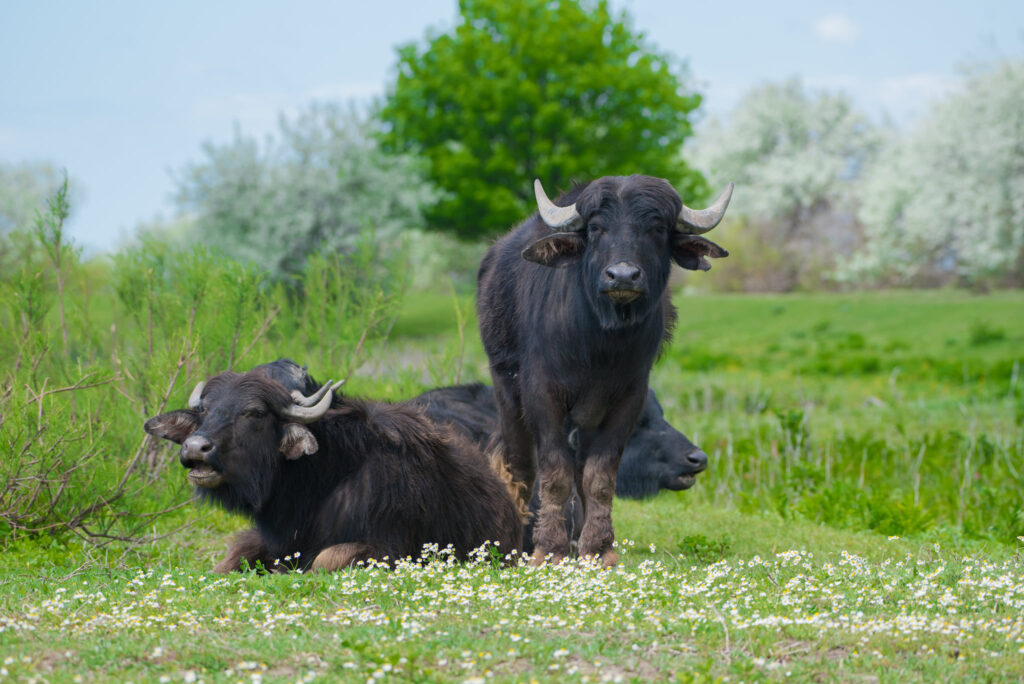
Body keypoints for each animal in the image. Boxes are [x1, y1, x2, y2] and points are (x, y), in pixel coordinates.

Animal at [144, 368, 524, 573]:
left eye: (255, 413)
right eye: (204, 410)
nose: (195, 448)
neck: (321, 480)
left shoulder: (388, 549)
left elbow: (325, 559)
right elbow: (227, 561)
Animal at [477, 176, 729, 565]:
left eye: (657, 229)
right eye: (596, 228)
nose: (622, 276)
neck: (599, 345)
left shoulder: (627, 399)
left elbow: (599, 476)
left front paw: (599, 550)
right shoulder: (542, 394)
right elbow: (554, 474)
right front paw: (548, 549)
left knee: (582, 468)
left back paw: (578, 539)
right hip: (506, 388)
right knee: (520, 464)